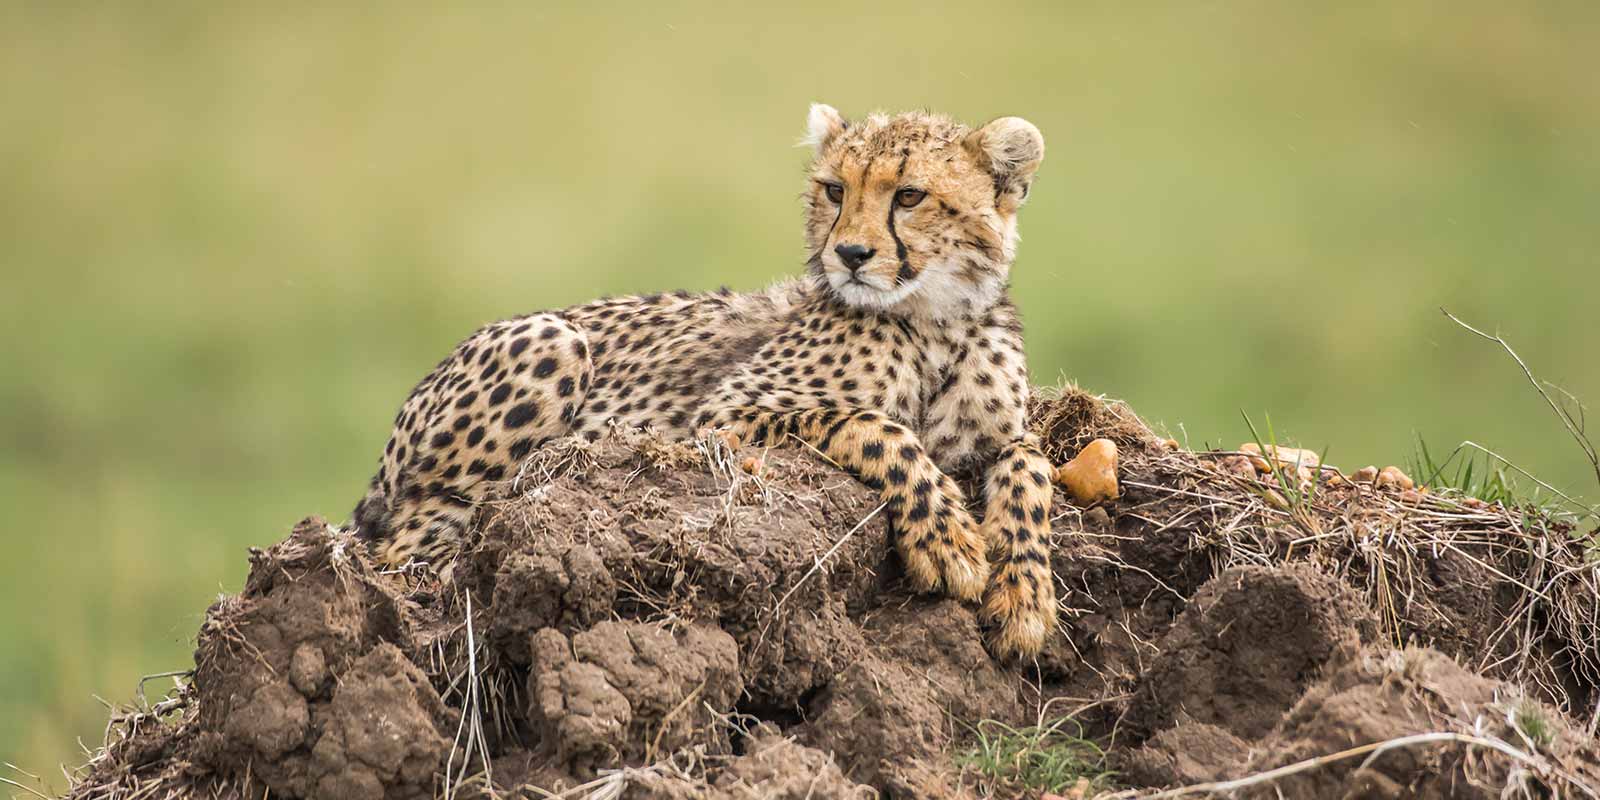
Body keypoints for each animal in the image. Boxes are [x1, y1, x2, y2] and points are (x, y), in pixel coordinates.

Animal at [351, 104, 1059, 658]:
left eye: (908, 196)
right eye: (835, 190)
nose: (850, 254)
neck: (936, 319)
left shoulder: (999, 436)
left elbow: (1031, 467)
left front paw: (1024, 598)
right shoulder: (724, 415)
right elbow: (877, 426)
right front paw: (949, 543)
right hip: (553, 342)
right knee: (407, 544)